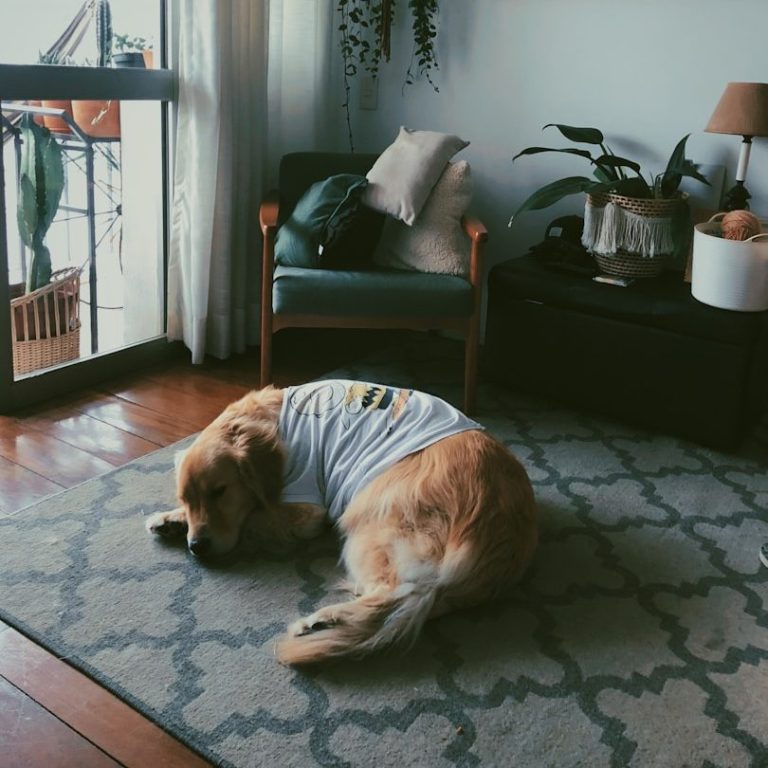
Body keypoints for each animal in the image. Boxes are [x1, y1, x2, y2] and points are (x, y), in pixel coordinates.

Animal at [146, 380, 538, 665]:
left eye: (220, 491)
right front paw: (170, 519)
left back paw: (322, 620)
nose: (197, 547)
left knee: (397, 592)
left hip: (368, 524)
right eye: (187, 498)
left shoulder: (305, 506)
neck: (277, 426)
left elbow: (257, 516)